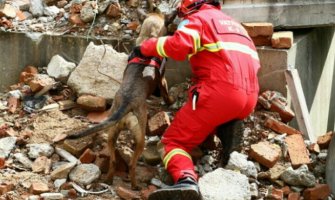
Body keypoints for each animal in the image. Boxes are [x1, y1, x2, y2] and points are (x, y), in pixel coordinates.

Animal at [65, 12, 176, 189]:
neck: (148, 37)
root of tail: (125, 105)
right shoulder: (163, 80)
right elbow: (166, 94)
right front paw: (171, 101)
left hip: (112, 134)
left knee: (113, 160)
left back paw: (109, 179)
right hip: (140, 138)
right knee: (132, 164)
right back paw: (135, 185)